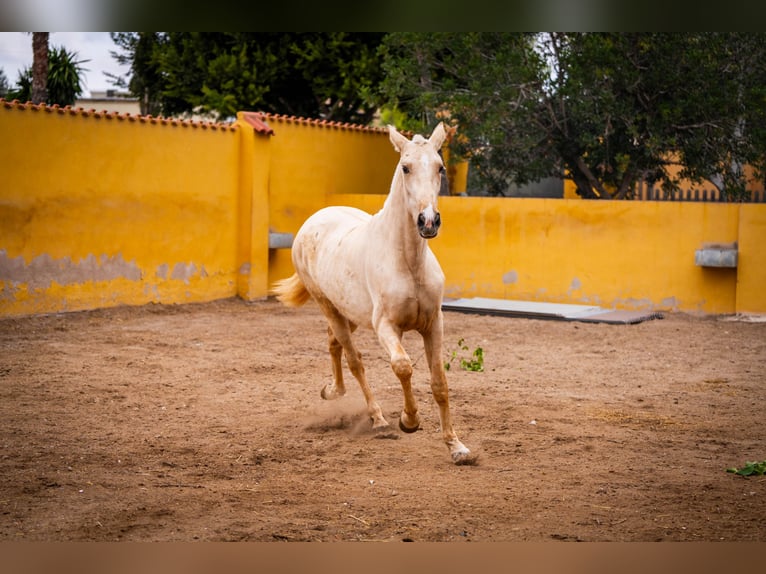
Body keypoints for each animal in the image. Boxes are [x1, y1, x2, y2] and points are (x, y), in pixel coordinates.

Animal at [270, 122, 474, 468]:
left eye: (440, 167)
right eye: (405, 167)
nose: (428, 221)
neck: (408, 262)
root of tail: (314, 219)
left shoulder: (434, 324)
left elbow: (440, 384)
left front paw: (457, 447)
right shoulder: (386, 326)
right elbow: (403, 367)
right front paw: (409, 421)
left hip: (349, 313)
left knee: (334, 343)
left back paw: (332, 391)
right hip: (329, 307)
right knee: (355, 360)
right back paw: (377, 419)